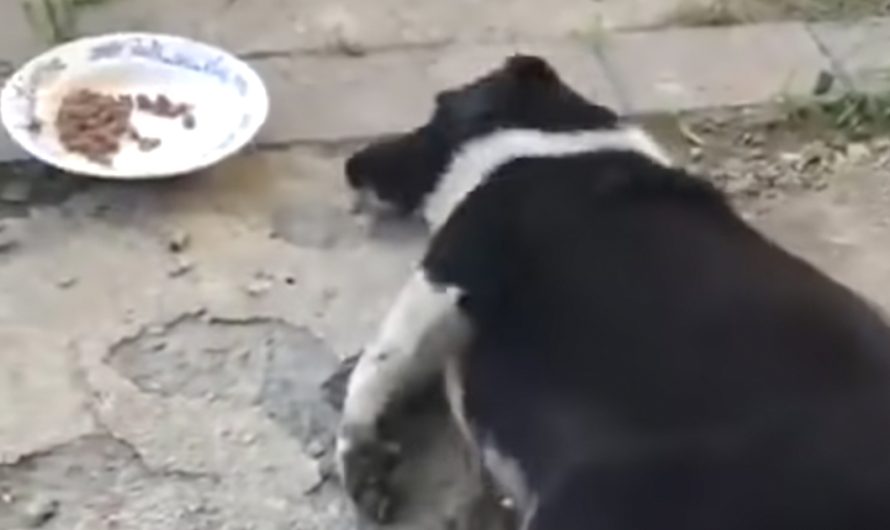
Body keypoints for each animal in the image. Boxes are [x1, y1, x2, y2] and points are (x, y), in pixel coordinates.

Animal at [336, 55, 888, 524]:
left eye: (436, 109)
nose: (351, 164)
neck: (546, 142)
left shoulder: (458, 262)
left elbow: (379, 361)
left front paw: (360, 457)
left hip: (592, 496)